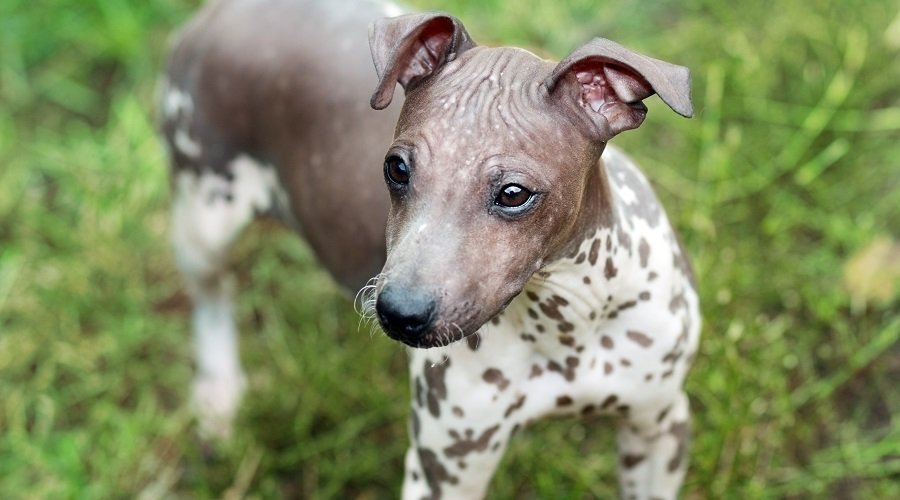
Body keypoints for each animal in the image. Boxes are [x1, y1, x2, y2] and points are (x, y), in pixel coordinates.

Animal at [160, 0, 696, 500]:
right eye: (396, 169)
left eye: (514, 194)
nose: (399, 314)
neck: (565, 322)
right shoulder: (445, 467)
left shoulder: (660, 427)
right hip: (203, 217)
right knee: (211, 296)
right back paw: (218, 393)